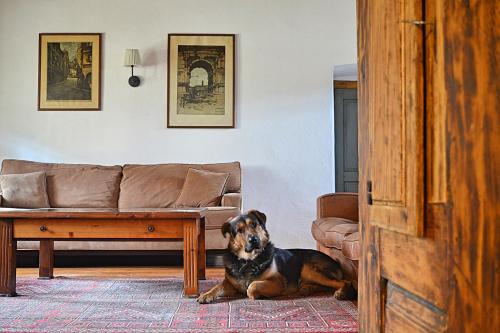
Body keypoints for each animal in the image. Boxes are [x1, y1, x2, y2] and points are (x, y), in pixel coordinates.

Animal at [197, 210, 354, 304]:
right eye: (240, 230)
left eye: (254, 224)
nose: (253, 239)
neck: (248, 260)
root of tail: (336, 262)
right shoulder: (230, 283)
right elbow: (217, 286)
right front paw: (206, 294)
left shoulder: (278, 281)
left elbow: (252, 286)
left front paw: (256, 294)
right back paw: (307, 288)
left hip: (308, 268)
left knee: (345, 282)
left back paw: (340, 292)